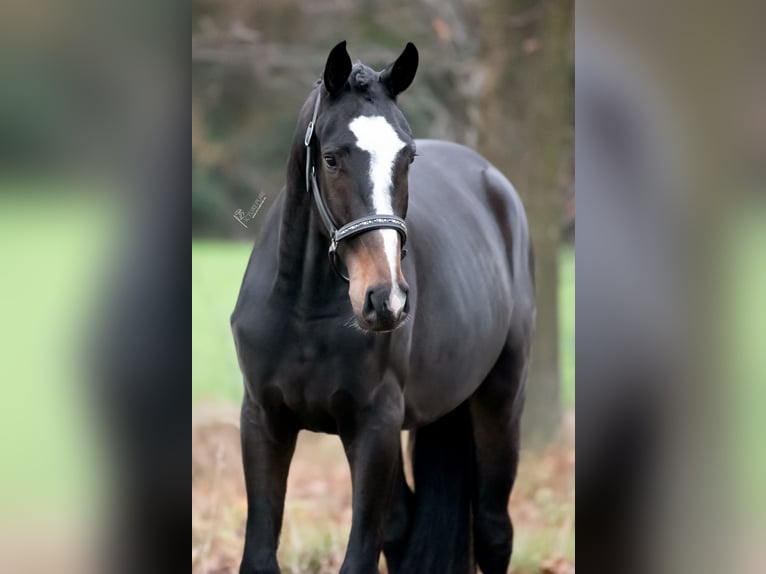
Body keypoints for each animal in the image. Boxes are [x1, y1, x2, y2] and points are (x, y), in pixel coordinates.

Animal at [231, 41, 535, 574]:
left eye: (408, 157)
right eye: (331, 158)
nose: (386, 299)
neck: (306, 313)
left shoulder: (375, 427)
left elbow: (359, 557)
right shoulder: (263, 421)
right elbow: (261, 555)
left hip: (501, 400)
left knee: (494, 531)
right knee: (403, 529)